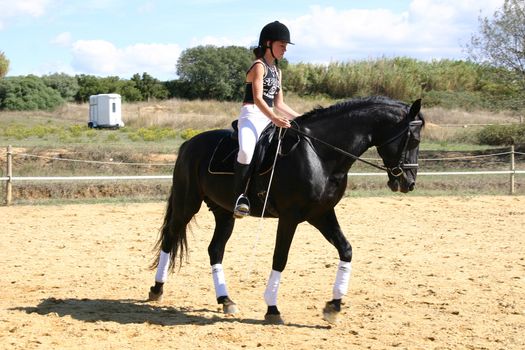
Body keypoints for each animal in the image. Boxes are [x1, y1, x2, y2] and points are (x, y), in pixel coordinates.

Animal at [146, 96, 422, 326]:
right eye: (413, 139)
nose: (408, 183)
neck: (320, 154)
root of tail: (189, 143)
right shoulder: (290, 217)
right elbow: (280, 258)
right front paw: (272, 309)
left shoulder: (322, 214)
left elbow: (346, 250)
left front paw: (333, 307)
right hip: (187, 204)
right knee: (170, 238)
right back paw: (157, 289)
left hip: (224, 212)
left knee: (215, 249)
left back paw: (226, 300)